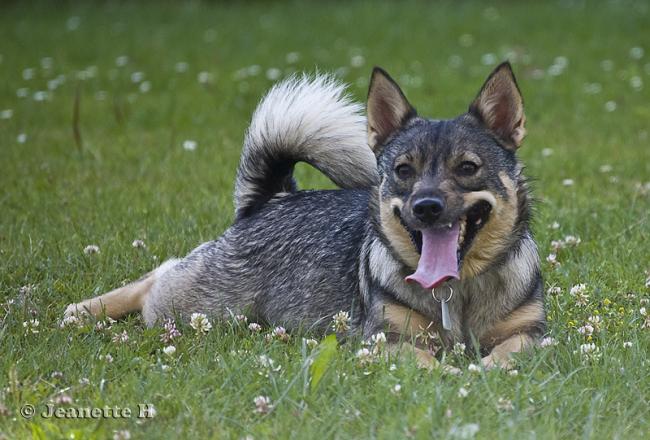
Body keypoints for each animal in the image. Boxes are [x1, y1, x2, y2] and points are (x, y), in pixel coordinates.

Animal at [64, 62, 540, 368]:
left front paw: (485, 370)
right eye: (404, 171)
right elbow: (430, 364)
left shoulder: (533, 334)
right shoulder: (385, 340)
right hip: (196, 305)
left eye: (467, 167)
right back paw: (84, 311)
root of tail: (269, 199)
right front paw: (456, 374)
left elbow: (506, 354)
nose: (426, 207)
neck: (456, 294)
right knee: (156, 277)